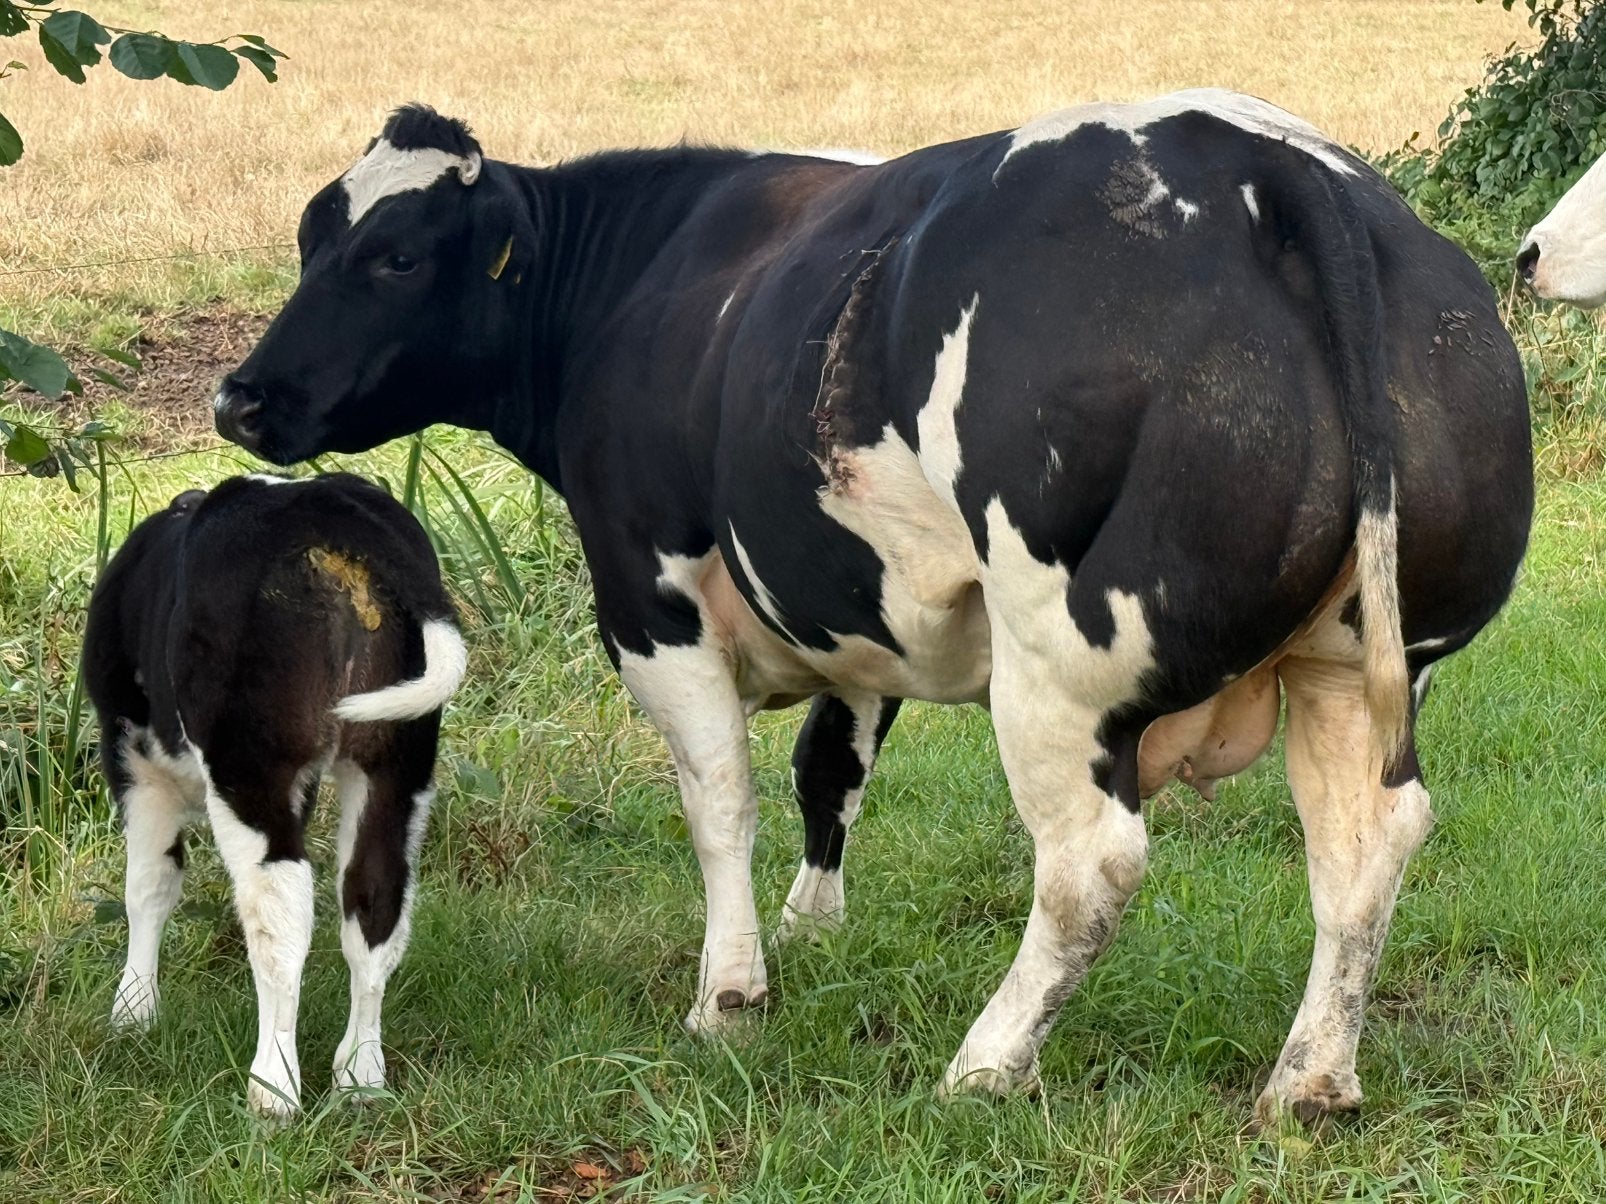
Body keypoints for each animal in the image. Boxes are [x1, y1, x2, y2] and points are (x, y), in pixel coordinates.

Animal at [84, 473, 467, 1117]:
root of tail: (329, 507)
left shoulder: (132, 755)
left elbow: (148, 886)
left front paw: (132, 1013)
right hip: (397, 760)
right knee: (375, 897)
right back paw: (360, 1077)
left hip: (249, 762)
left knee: (279, 914)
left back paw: (274, 1091)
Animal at [214, 93, 1532, 1125]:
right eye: (309, 237)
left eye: (394, 257)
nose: (240, 396)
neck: (639, 279)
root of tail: (1270, 160)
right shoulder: (854, 606)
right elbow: (827, 770)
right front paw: (814, 931)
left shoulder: (651, 599)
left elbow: (720, 803)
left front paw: (730, 995)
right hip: (1361, 660)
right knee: (1365, 845)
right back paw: (1309, 1079)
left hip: (1061, 661)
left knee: (1090, 864)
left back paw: (987, 1063)